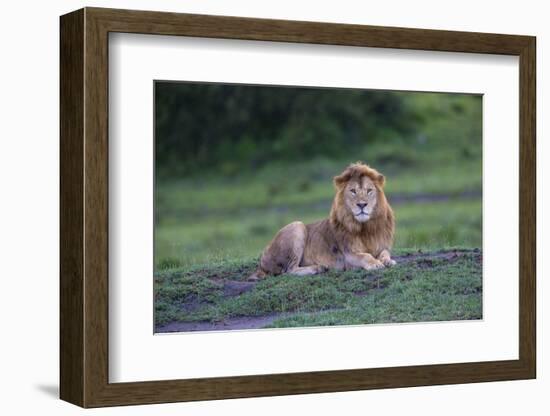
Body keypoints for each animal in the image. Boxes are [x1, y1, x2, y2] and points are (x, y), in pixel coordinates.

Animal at [250, 162, 396, 280]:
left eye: (369, 190)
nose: (361, 205)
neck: (365, 227)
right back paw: (318, 268)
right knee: (288, 271)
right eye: (353, 191)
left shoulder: (382, 246)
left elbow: (385, 253)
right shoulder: (348, 255)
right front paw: (376, 264)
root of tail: (262, 261)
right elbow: (365, 256)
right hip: (297, 225)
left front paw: (388, 261)